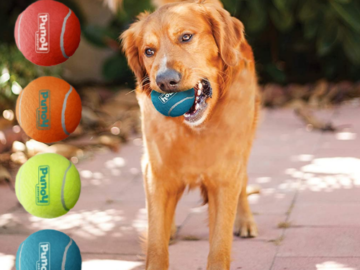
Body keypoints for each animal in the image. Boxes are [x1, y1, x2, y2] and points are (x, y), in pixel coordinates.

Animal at [122, 1, 260, 268]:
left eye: (186, 37)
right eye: (148, 51)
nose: (165, 81)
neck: (197, 129)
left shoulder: (226, 174)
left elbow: (219, 245)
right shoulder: (156, 172)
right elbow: (156, 241)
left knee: (244, 180)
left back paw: (245, 220)